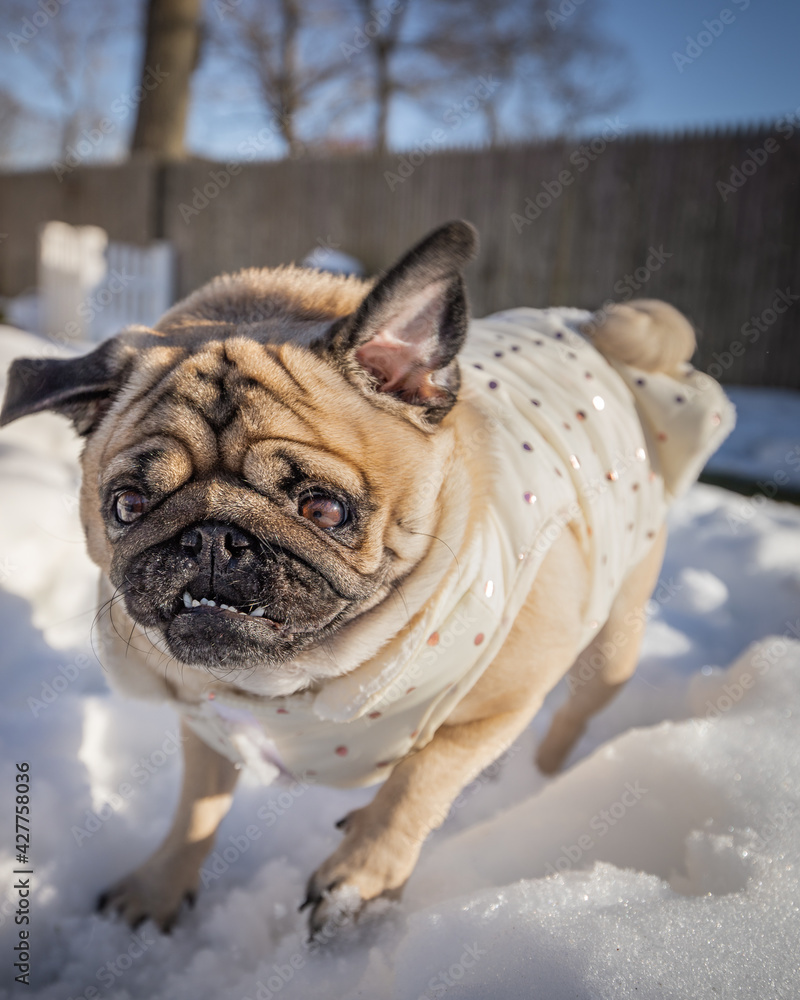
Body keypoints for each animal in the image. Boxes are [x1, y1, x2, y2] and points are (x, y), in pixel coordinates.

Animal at [0, 221, 736, 936]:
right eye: (128, 504)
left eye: (324, 509)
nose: (212, 536)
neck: (293, 684)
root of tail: (595, 331)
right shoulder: (207, 722)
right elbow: (197, 807)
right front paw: (159, 887)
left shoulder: (499, 705)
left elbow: (422, 781)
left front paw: (359, 881)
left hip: (610, 643)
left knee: (562, 721)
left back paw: (533, 782)